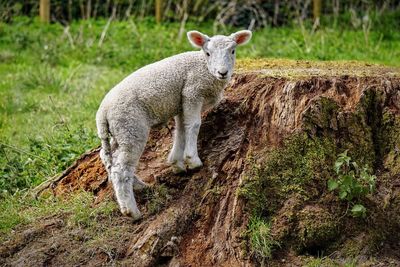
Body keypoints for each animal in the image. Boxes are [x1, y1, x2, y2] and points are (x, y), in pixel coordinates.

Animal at [95, 30, 252, 221]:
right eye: (207, 53)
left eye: (233, 51)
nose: (223, 72)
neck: (205, 69)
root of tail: (103, 113)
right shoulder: (192, 92)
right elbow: (194, 124)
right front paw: (193, 160)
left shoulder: (181, 102)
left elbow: (181, 130)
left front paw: (177, 162)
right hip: (131, 127)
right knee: (121, 169)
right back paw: (131, 210)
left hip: (118, 131)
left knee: (107, 157)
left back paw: (138, 185)